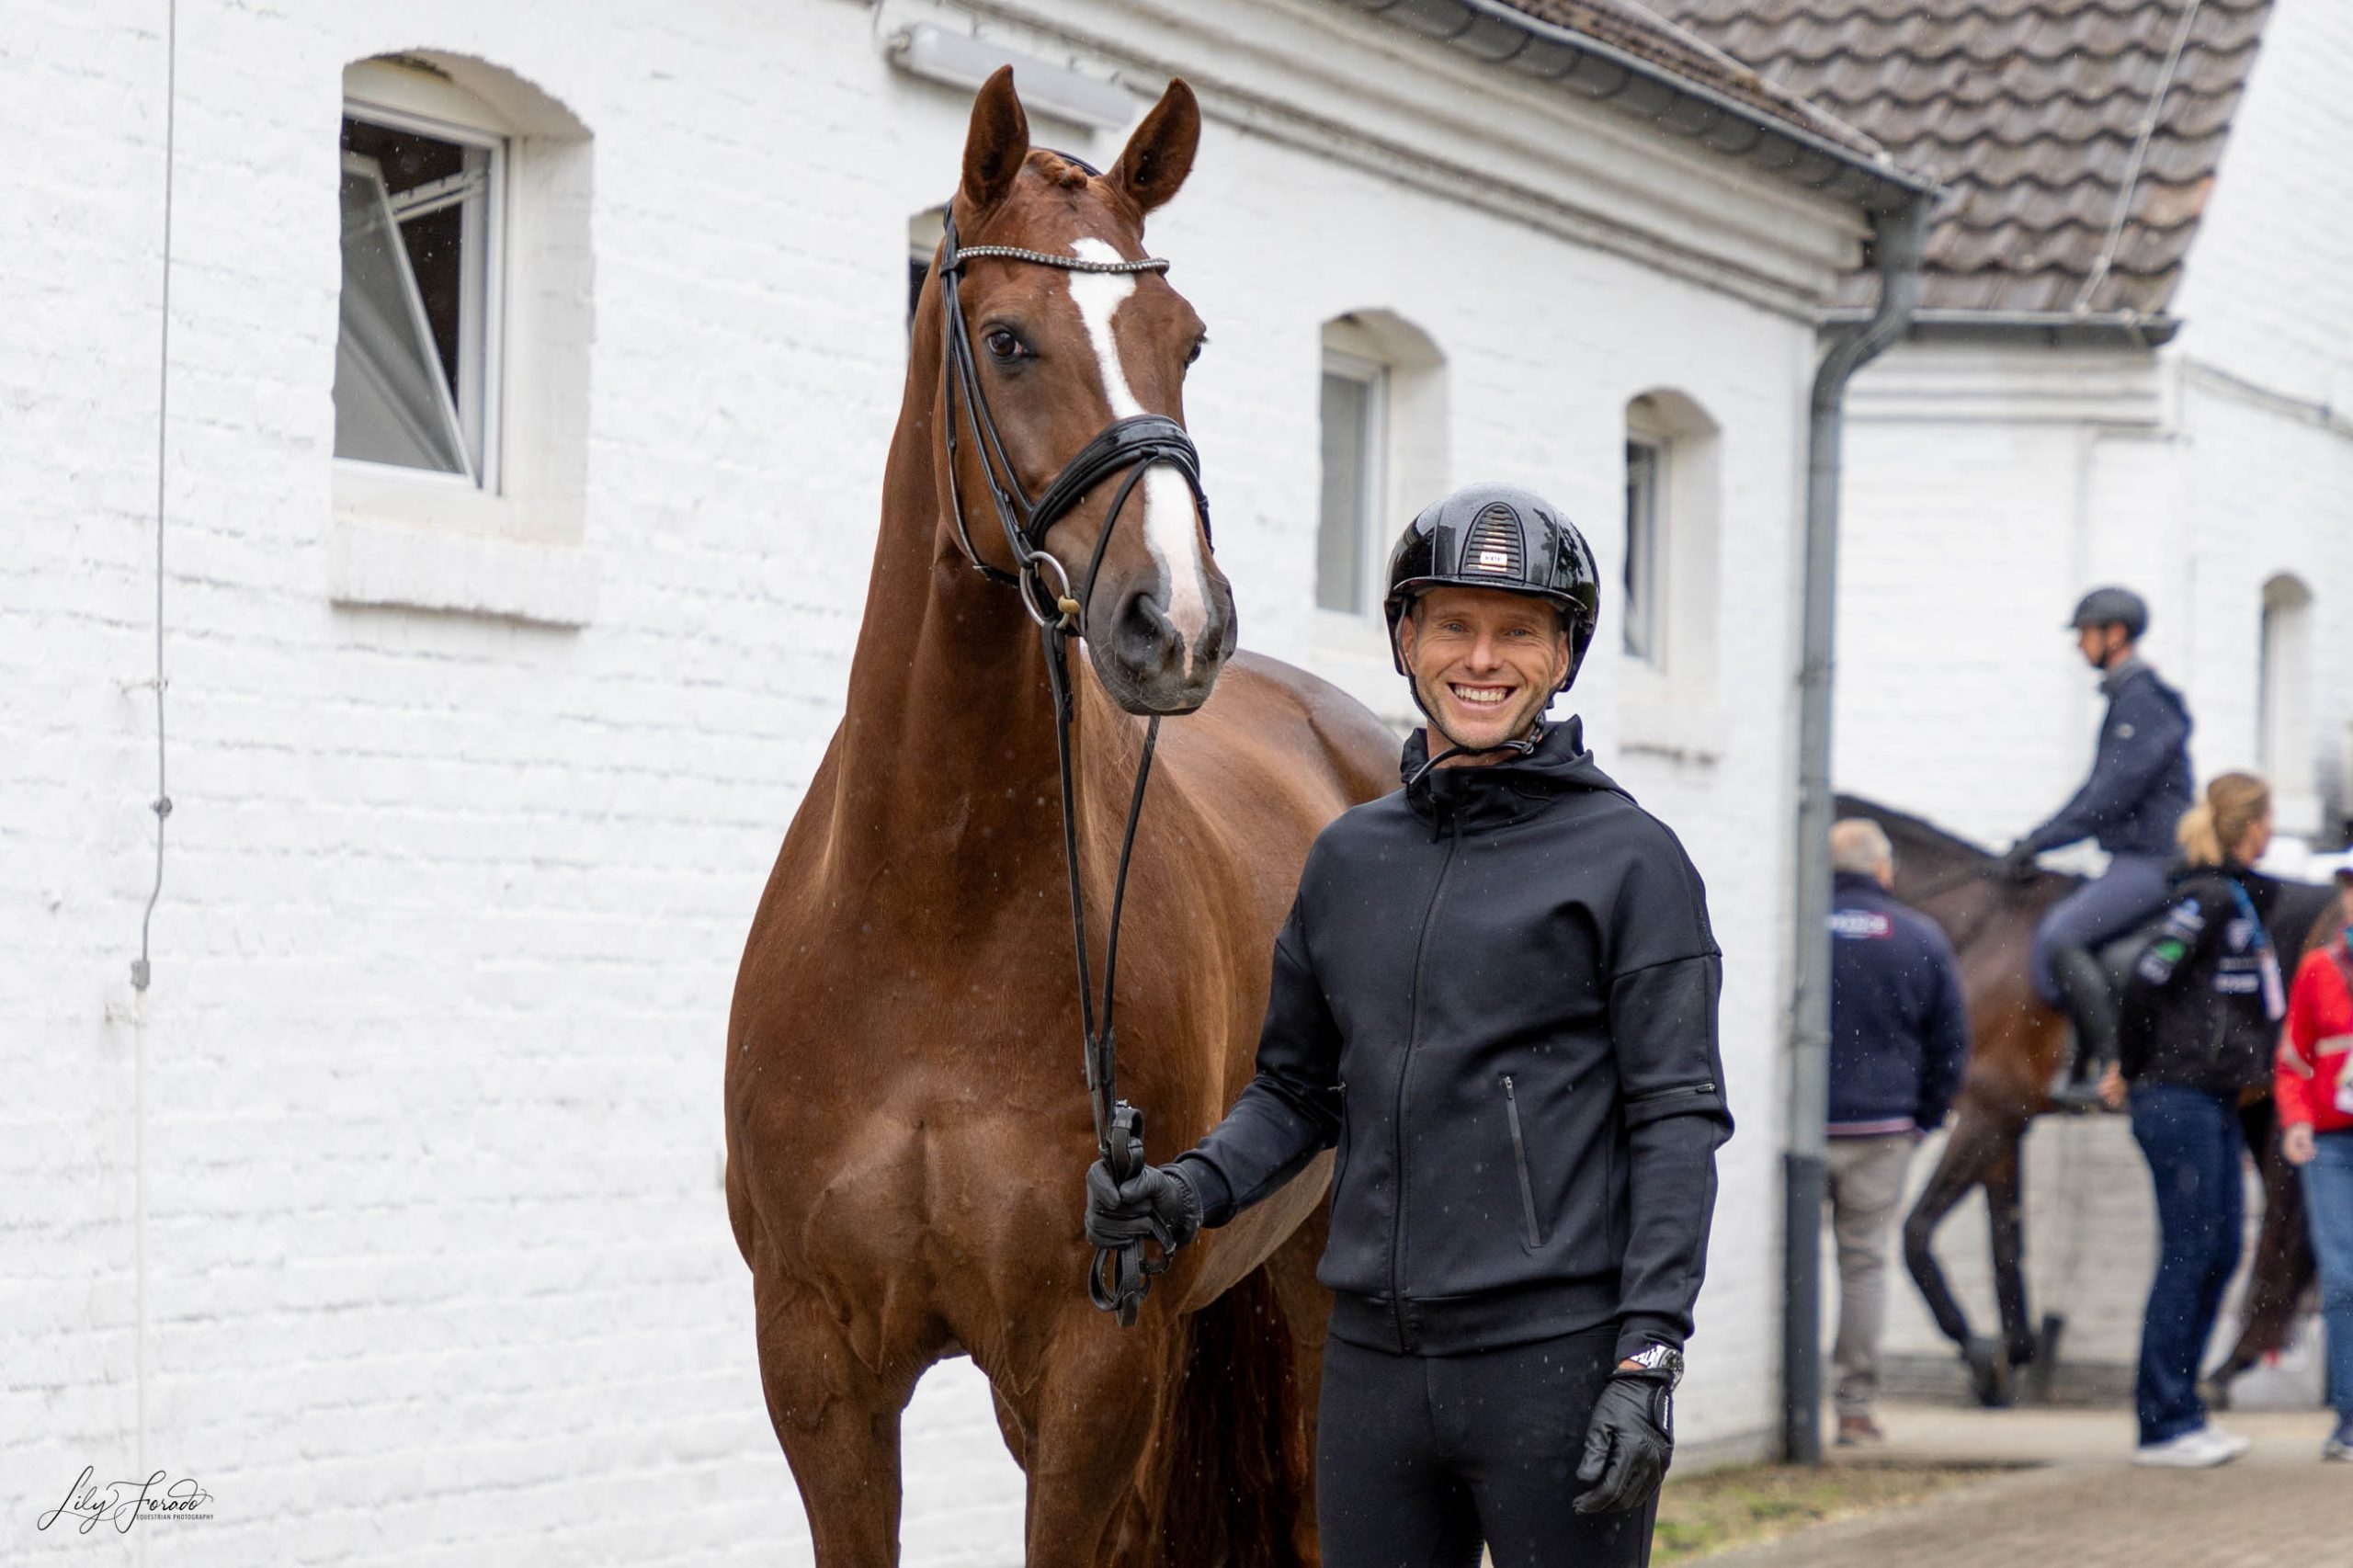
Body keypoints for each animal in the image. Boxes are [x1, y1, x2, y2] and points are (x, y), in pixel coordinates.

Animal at [724, 73, 1392, 1562]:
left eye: (1184, 340)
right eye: (1008, 338)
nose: (1177, 623)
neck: (930, 916)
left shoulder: (1093, 1366)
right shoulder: (819, 1368)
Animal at [1825, 795, 2325, 1403]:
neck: (1977, 928)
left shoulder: (1986, 1116)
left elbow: (1916, 1234)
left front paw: (1979, 1356)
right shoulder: (2005, 1120)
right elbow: (2006, 1240)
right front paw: (2014, 1353)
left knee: (2285, 1234)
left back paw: (2226, 1372)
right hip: (2261, 1112)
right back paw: (2232, 1367)